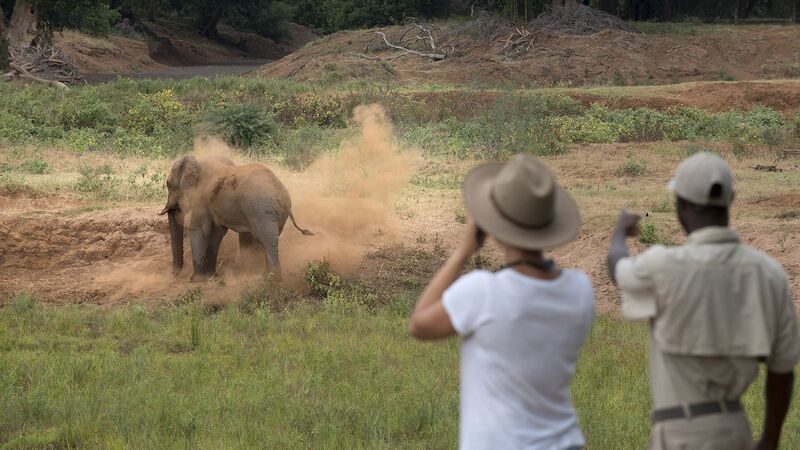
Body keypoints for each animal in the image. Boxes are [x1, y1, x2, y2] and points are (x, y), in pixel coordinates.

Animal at [159, 155, 312, 282]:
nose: (175, 274)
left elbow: (199, 231)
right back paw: (264, 275)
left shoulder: (201, 197)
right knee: (268, 239)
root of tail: (283, 197)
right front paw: (211, 277)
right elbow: (216, 233)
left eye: (169, 185)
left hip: (261, 211)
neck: (198, 160)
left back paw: (272, 279)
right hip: (275, 214)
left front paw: (196, 281)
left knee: (266, 239)